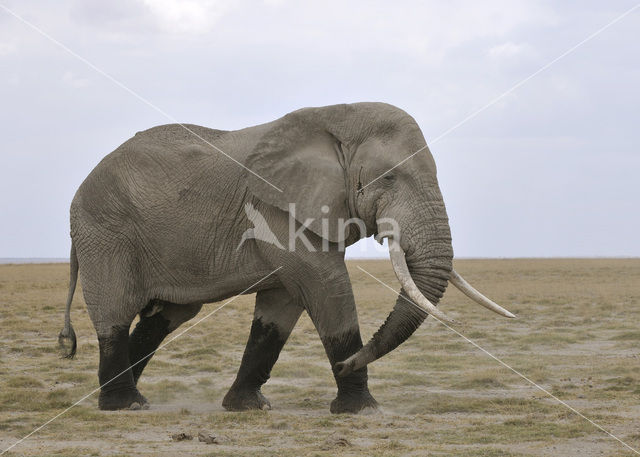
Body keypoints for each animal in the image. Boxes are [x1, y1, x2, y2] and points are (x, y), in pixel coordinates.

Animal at [57, 102, 512, 414]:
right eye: (388, 178)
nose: (344, 366)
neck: (337, 120)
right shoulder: (276, 208)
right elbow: (326, 286)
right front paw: (362, 409)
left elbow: (281, 308)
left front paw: (247, 407)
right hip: (105, 231)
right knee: (116, 310)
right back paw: (124, 404)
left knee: (167, 315)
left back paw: (121, 395)